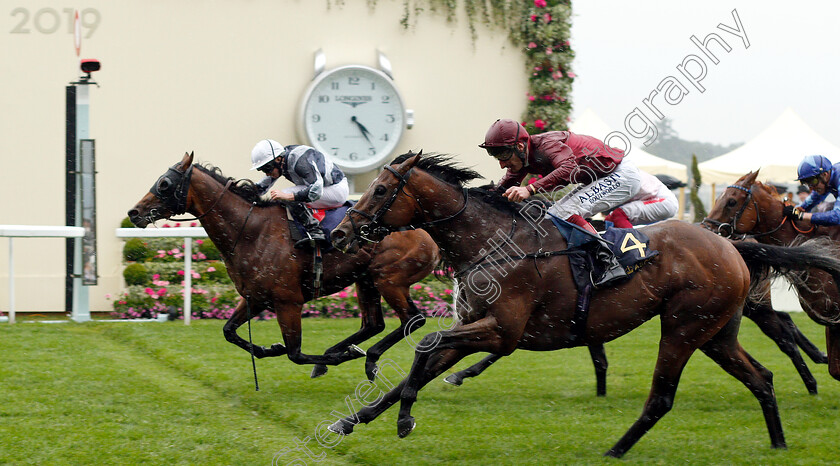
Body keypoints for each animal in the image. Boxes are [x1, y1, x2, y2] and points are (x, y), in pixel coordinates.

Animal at [129, 151, 442, 380]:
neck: (250, 231)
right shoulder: (255, 297)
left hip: (389, 279)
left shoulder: (287, 301)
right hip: (365, 280)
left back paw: (366, 357)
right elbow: (229, 331)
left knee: (413, 319)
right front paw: (271, 348)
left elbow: (296, 353)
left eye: (165, 183)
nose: (134, 212)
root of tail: (425, 231)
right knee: (374, 324)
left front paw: (339, 356)